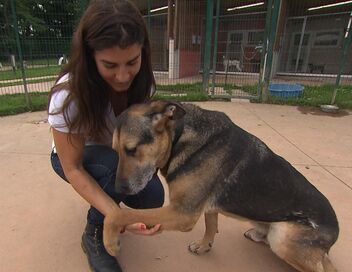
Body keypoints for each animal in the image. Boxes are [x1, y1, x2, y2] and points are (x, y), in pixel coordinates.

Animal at [104, 100, 338, 272]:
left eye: (132, 149)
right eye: (115, 151)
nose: (118, 189)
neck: (180, 137)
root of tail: (334, 234)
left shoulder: (183, 213)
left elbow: (119, 214)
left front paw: (110, 241)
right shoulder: (204, 207)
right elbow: (211, 225)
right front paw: (204, 245)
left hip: (283, 239)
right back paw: (258, 233)